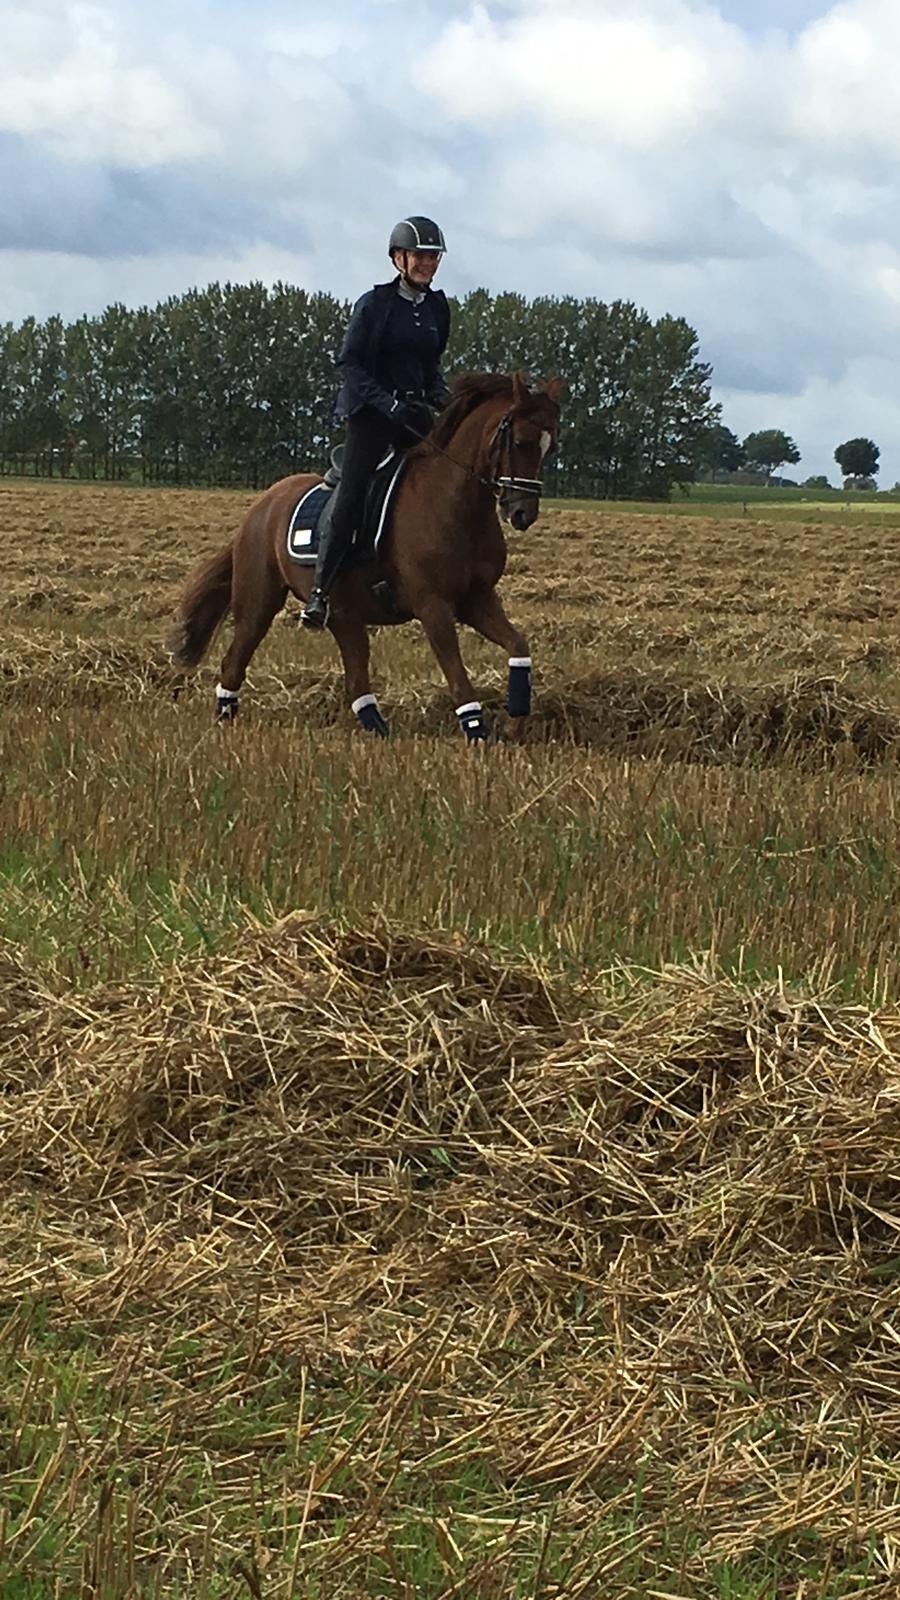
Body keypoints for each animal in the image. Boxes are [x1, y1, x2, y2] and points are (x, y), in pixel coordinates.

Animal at [168, 371, 562, 741]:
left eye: (550, 447)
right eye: (521, 441)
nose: (522, 514)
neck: (455, 504)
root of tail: (262, 505)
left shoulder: (477, 600)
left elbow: (518, 645)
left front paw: (515, 721)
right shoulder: (433, 607)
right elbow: (457, 675)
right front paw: (477, 732)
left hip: (345, 617)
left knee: (356, 681)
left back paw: (379, 732)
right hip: (258, 603)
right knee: (233, 661)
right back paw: (224, 721)